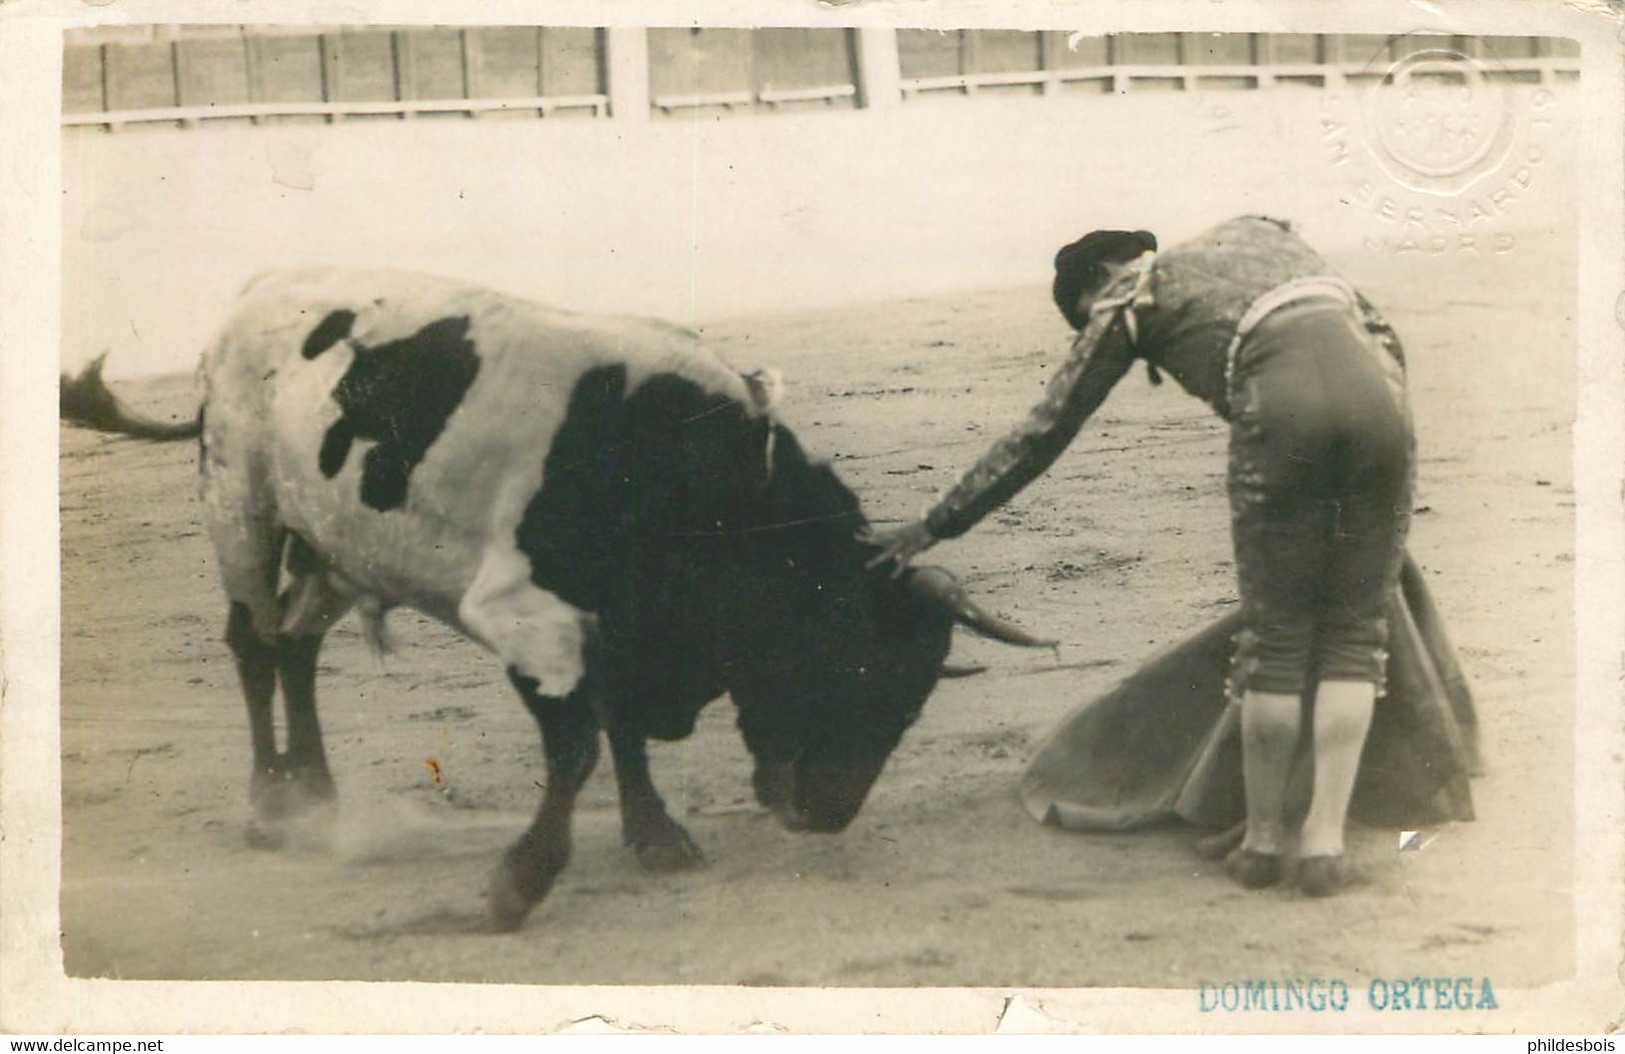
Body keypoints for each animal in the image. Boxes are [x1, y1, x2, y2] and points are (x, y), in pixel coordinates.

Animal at [60, 269, 1053, 928]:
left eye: (910, 699)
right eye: (842, 668)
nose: (826, 816)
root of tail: (253, 299)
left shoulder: (616, 635)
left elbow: (619, 727)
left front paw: (655, 838)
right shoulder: (527, 622)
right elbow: (576, 745)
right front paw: (520, 881)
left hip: (338, 549)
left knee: (297, 648)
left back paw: (319, 794)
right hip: (240, 508)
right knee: (254, 645)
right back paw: (272, 804)